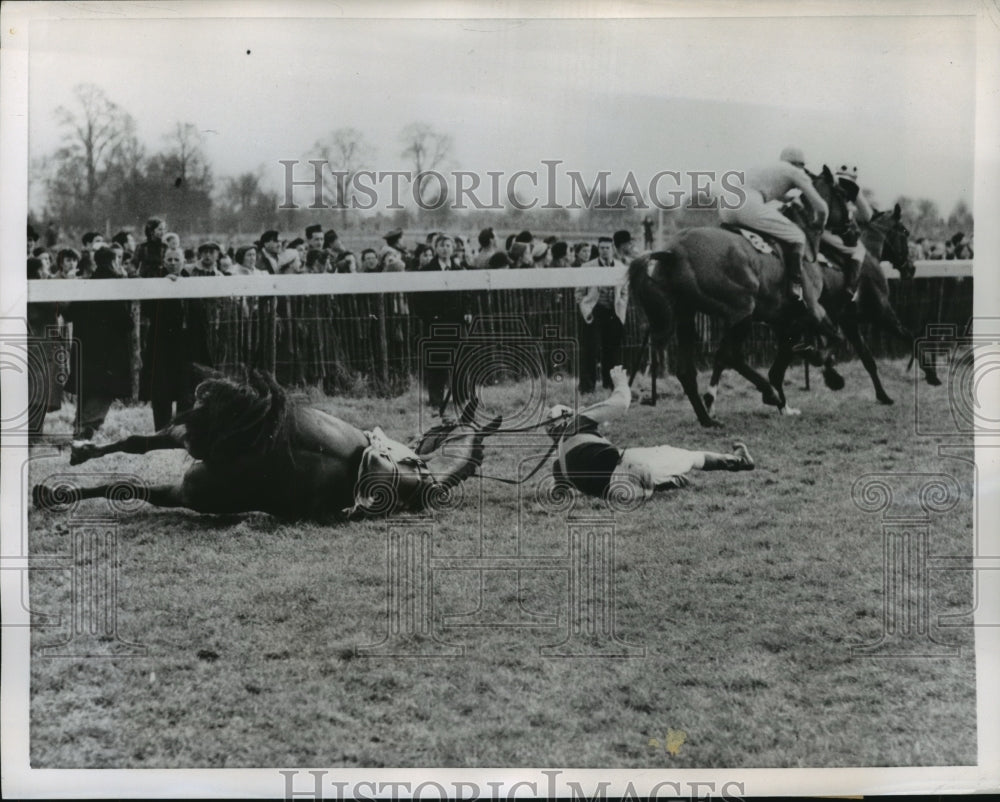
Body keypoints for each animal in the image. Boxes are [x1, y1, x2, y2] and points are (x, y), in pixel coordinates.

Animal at [35, 368, 504, 520]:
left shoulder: (188, 489)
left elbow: (129, 487)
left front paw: (53, 493)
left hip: (199, 464)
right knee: (148, 441)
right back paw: (77, 454)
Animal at [628, 166, 848, 428]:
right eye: (842, 194)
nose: (853, 229)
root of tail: (672, 251)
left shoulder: (785, 321)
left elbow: (782, 362)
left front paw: (790, 402)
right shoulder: (812, 311)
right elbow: (835, 337)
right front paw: (820, 366)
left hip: (686, 315)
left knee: (688, 370)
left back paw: (708, 419)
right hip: (741, 310)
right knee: (729, 355)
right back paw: (767, 393)